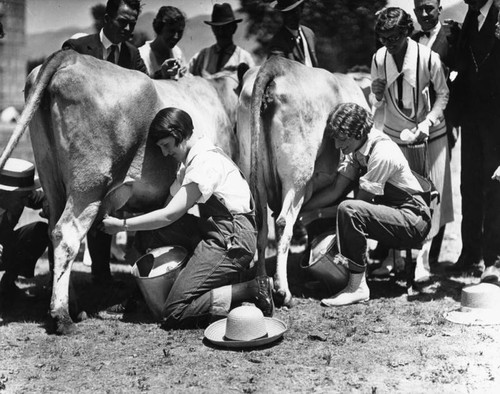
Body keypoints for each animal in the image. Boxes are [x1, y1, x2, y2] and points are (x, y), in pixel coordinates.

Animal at [0, 47, 234, 334]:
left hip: (51, 177)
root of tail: (70, 56)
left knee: (52, 230)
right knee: (67, 234)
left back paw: (74, 308)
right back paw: (62, 316)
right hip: (89, 184)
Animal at [236, 56, 370, 308]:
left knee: (262, 225)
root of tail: (277, 64)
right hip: (297, 177)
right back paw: (283, 292)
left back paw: (263, 289)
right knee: (282, 223)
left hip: (254, 176)